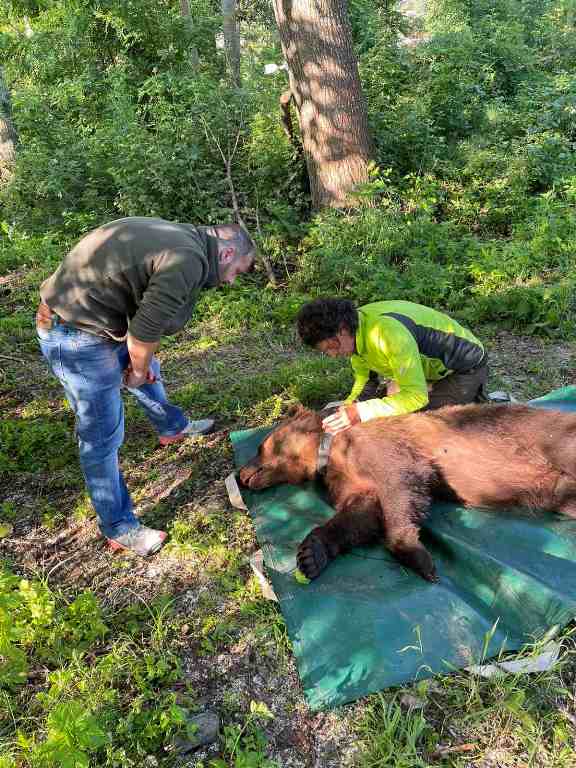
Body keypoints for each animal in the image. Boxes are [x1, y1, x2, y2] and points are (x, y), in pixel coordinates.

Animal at [237, 402, 576, 584]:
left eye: (259, 446)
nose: (240, 475)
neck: (327, 452)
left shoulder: (384, 452)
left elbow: (398, 488)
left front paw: (419, 558)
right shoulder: (350, 481)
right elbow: (359, 515)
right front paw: (310, 555)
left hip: (551, 439)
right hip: (557, 488)